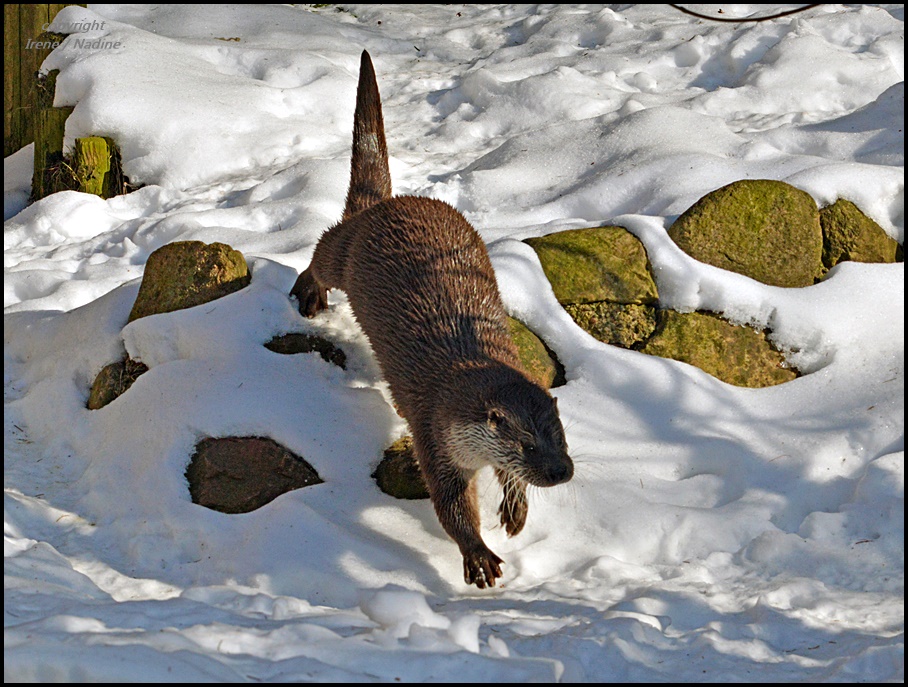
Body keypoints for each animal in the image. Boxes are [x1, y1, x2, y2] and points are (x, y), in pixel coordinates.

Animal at [290, 52, 576, 592]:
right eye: (527, 444)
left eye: (560, 436)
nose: (562, 472)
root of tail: (390, 202)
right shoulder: (433, 432)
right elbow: (449, 505)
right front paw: (478, 554)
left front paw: (515, 510)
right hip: (346, 252)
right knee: (323, 247)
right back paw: (307, 292)